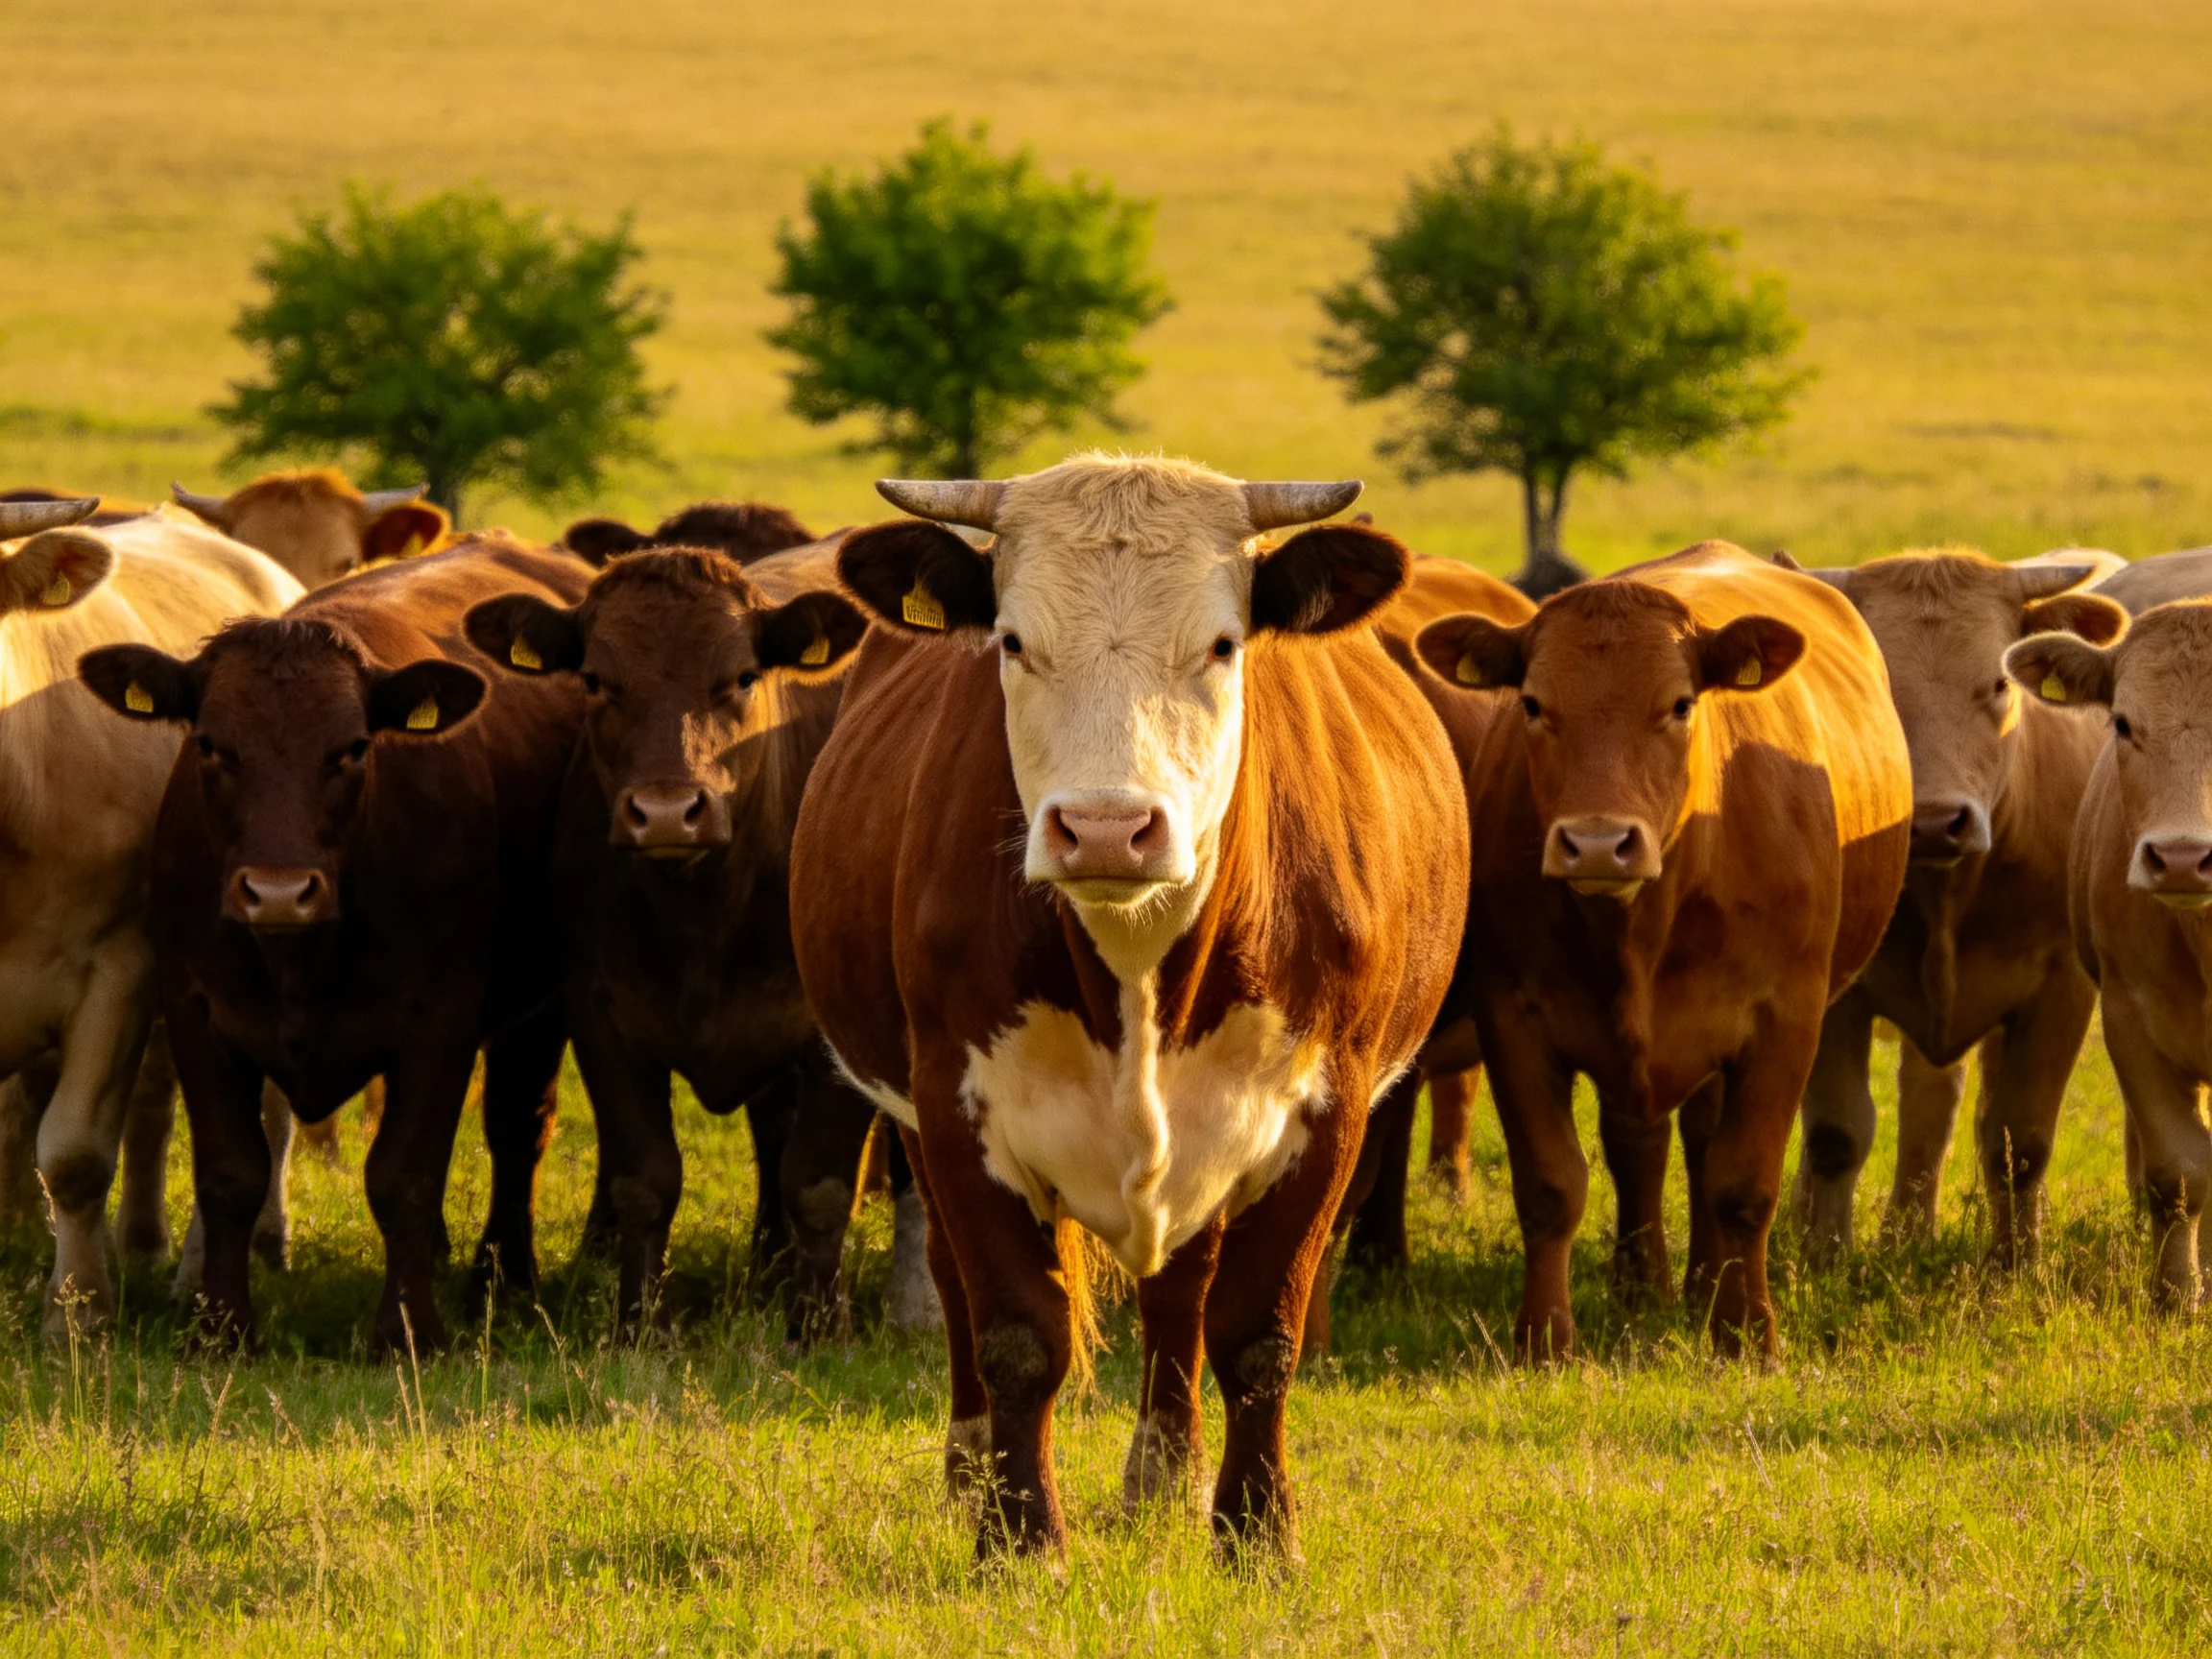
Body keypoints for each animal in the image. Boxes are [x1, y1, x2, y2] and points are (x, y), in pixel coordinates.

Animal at [78, 537, 588, 1353]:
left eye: (350, 749)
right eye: (213, 746)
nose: (280, 891)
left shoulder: (440, 1018)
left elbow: (404, 1173)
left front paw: (407, 1330)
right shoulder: (196, 1010)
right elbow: (230, 1175)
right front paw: (221, 1328)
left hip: (542, 1005)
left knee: (516, 1127)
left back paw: (503, 1278)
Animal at [462, 537, 892, 1339]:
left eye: (742, 677)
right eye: (595, 680)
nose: (666, 812)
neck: (706, 914)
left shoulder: (834, 1032)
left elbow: (820, 1182)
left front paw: (821, 1327)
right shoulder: (602, 1015)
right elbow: (645, 1179)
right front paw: (640, 1325)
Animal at [791, 455, 1468, 1560]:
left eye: (1224, 644)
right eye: (1013, 641)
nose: (1108, 828)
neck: (1138, 962)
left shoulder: (1327, 1109)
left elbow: (1259, 1333)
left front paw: (1257, 1535)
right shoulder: (955, 1105)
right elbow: (1018, 1332)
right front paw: (1020, 1543)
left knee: (1182, 1290)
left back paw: (1166, 1475)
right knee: (954, 1282)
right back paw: (971, 1473)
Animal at [1414, 541, 1912, 1358]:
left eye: (1680, 704)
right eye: (1533, 704)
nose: (1596, 843)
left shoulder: (1786, 1020)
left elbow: (1743, 1185)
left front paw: (1745, 1332)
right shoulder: (1514, 1016)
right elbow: (1550, 1184)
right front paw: (1544, 1339)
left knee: (1705, 1146)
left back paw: (1705, 1286)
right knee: (1642, 1144)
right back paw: (1643, 1284)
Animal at [1791, 550, 2126, 1261]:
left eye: (1999, 685)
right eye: (1878, 691)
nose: (1933, 823)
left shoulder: (2060, 991)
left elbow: (2020, 1143)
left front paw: (2015, 1264)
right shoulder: (1837, 992)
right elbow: (1835, 1134)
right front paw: (1823, 1258)